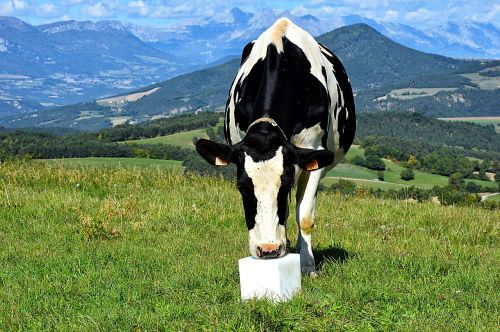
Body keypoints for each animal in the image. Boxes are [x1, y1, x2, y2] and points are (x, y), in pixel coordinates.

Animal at [195, 16, 356, 274]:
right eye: (242, 187)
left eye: (284, 185)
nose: (267, 250)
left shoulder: (313, 154)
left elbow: (305, 215)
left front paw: (307, 265)